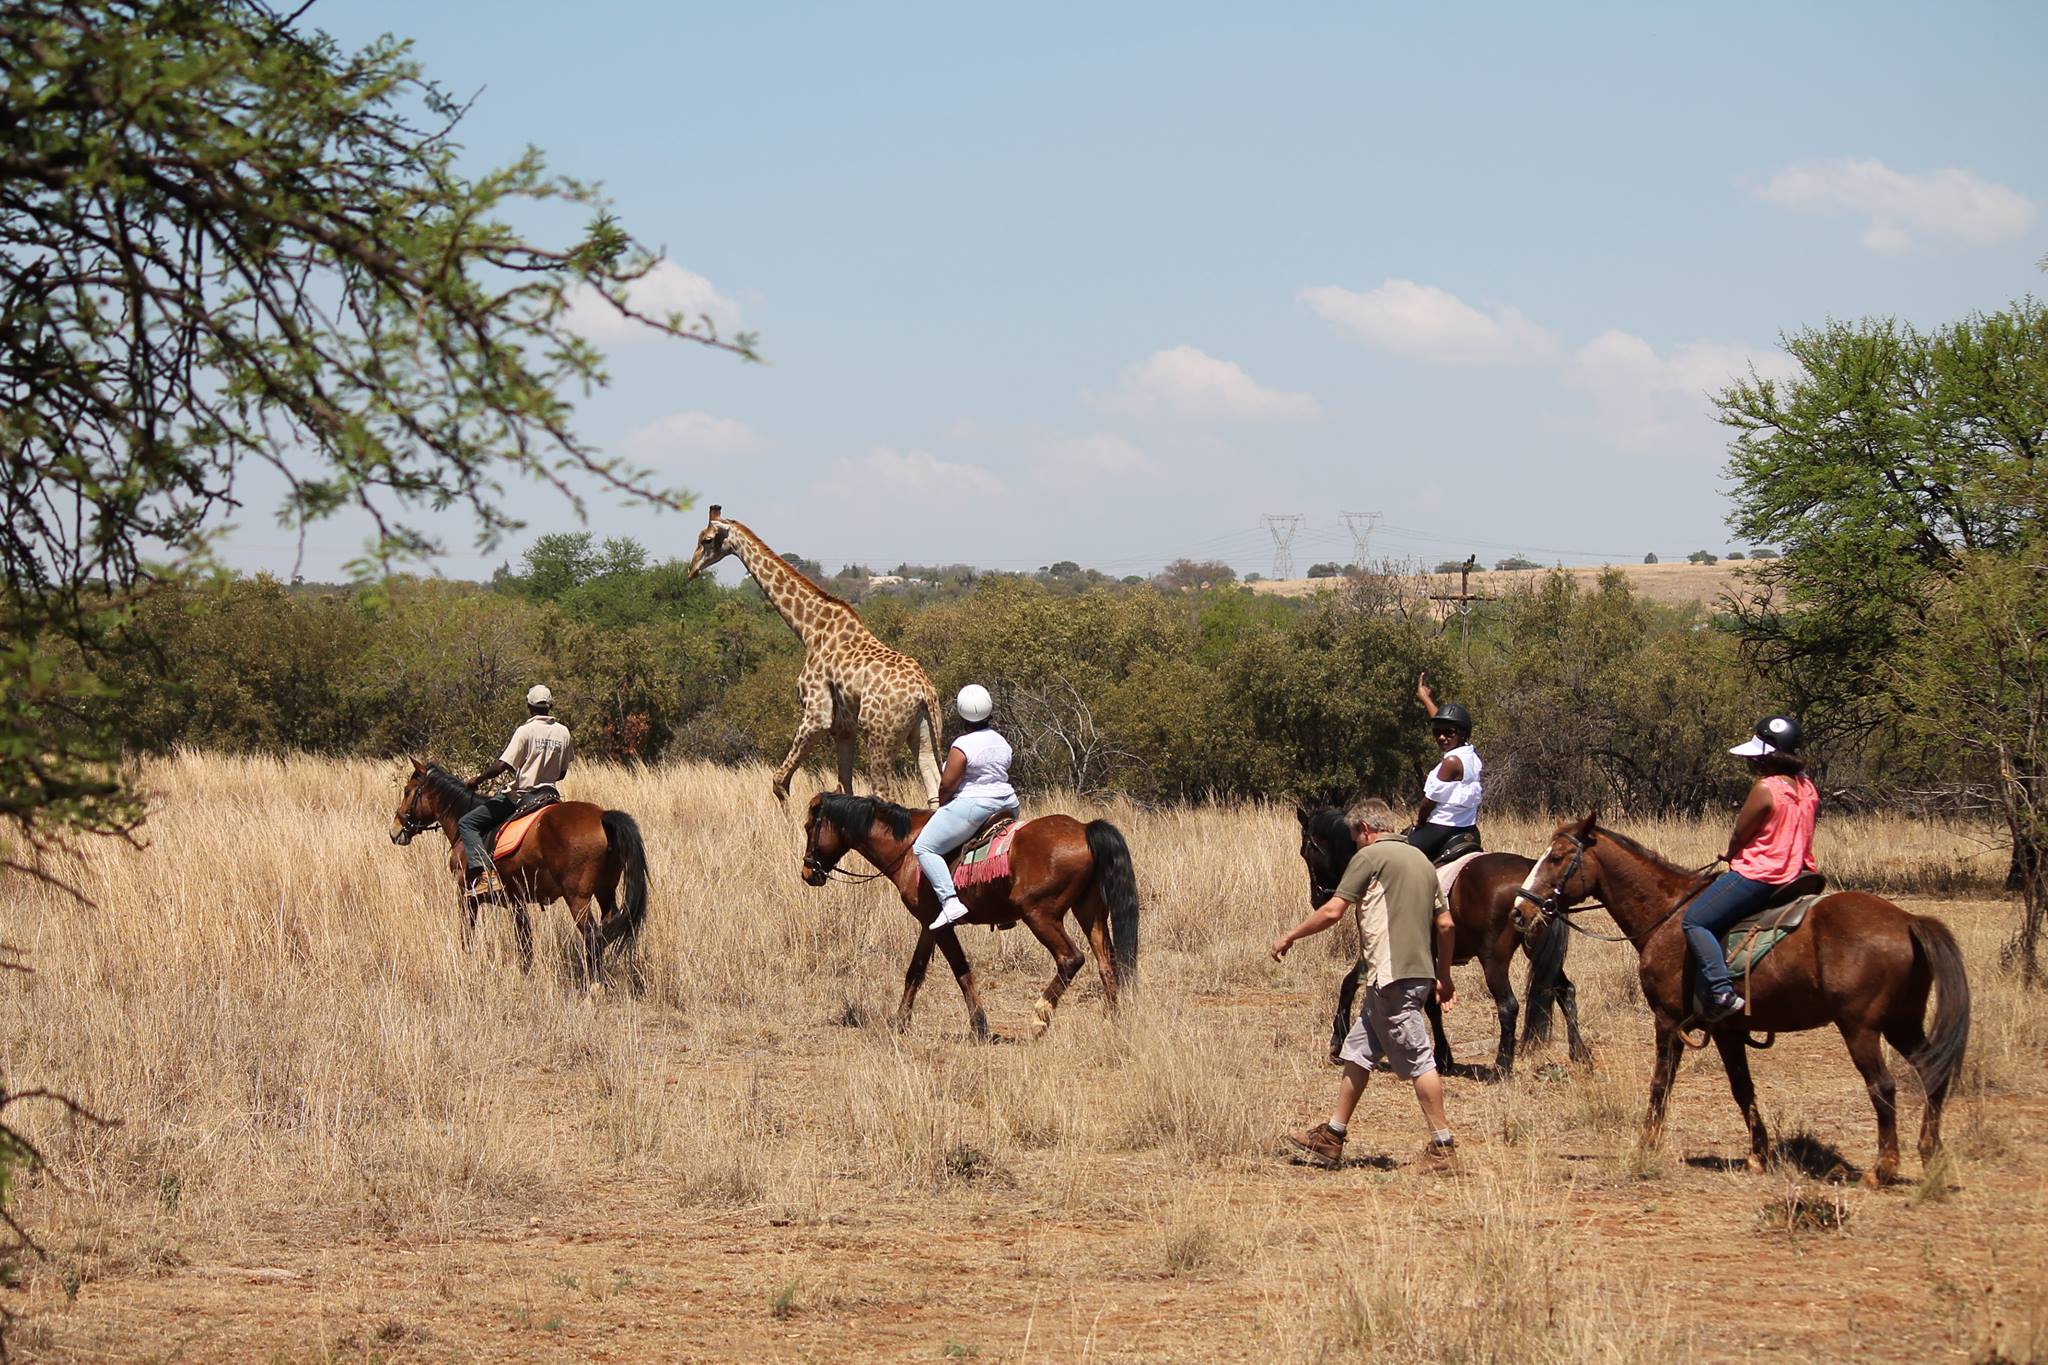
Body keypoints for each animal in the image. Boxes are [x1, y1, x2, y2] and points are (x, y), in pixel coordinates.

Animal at [389, 760, 649, 983]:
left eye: (407, 791)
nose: (395, 830)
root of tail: (602, 816)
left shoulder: (465, 894)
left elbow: (467, 933)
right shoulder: (517, 900)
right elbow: (524, 942)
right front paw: (526, 973)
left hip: (578, 898)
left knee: (593, 935)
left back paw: (594, 985)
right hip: (605, 891)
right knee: (609, 926)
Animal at [801, 792, 1139, 1039]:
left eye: (808, 828)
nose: (808, 872)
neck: (909, 848)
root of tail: (1084, 828)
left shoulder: (942, 926)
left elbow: (960, 970)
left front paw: (979, 1025)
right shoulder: (929, 925)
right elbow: (915, 972)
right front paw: (900, 1022)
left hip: (1040, 915)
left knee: (1071, 959)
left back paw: (1039, 1018)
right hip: (1089, 912)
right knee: (1107, 962)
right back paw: (1113, 1020)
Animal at [1297, 805, 1589, 1077]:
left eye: (1306, 852)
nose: (1317, 899)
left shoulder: (1381, 947)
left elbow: (1349, 984)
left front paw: (1337, 1042)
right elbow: (1432, 1004)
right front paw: (1443, 1056)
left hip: (1493, 959)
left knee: (1508, 1005)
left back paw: (1502, 1066)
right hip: (1539, 953)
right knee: (1565, 990)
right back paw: (1580, 1053)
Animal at [1512, 813, 1970, 1185]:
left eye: (1556, 857)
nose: (1520, 909)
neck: (1667, 914)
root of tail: (1908, 920)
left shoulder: (1667, 1020)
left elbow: (1661, 1082)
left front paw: (1647, 1144)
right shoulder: (1727, 1030)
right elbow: (1741, 1087)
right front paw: (1757, 1155)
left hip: (1862, 1029)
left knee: (1883, 1085)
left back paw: (1883, 1168)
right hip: (1903, 1023)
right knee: (1932, 1074)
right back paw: (1932, 1155)